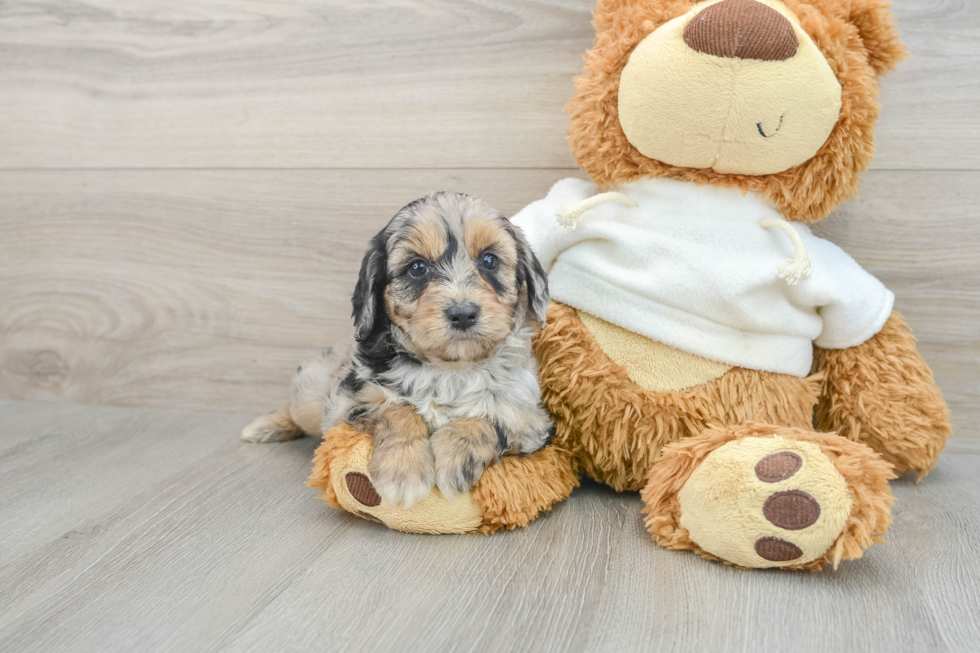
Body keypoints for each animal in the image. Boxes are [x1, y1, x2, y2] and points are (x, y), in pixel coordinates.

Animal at [242, 191, 556, 506]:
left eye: (489, 260)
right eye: (417, 267)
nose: (463, 313)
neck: (449, 367)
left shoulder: (533, 421)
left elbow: (488, 418)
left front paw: (454, 458)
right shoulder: (347, 402)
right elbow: (395, 409)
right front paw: (403, 472)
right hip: (311, 395)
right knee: (296, 410)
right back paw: (265, 426)